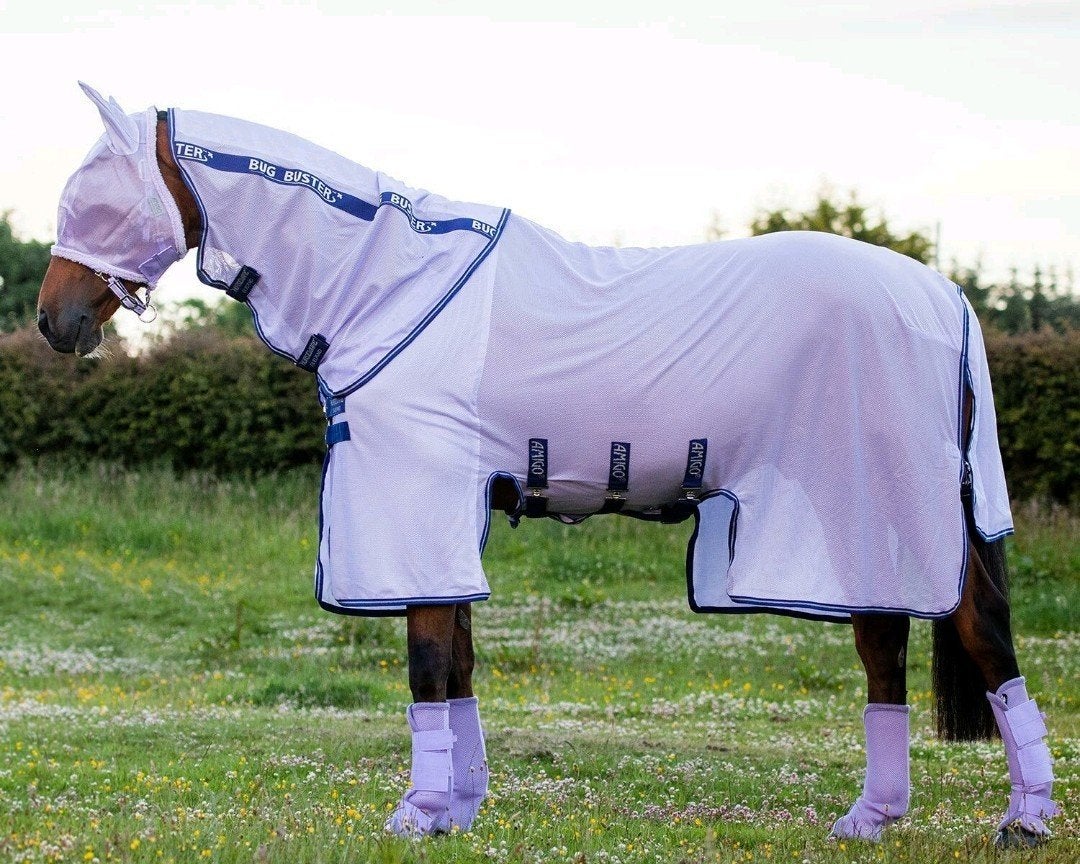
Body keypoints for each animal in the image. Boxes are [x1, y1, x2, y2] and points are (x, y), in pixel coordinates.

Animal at [37, 83, 1057, 847]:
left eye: (96, 193)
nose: (55, 322)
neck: (389, 283)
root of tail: (947, 296)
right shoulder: (455, 506)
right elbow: (458, 658)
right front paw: (457, 809)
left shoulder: (415, 500)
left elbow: (426, 663)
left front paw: (416, 813)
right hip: (851, 521)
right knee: (886, 654)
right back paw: (872, 819)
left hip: (879, 512)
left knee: (979, 638)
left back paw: (1024, 820)